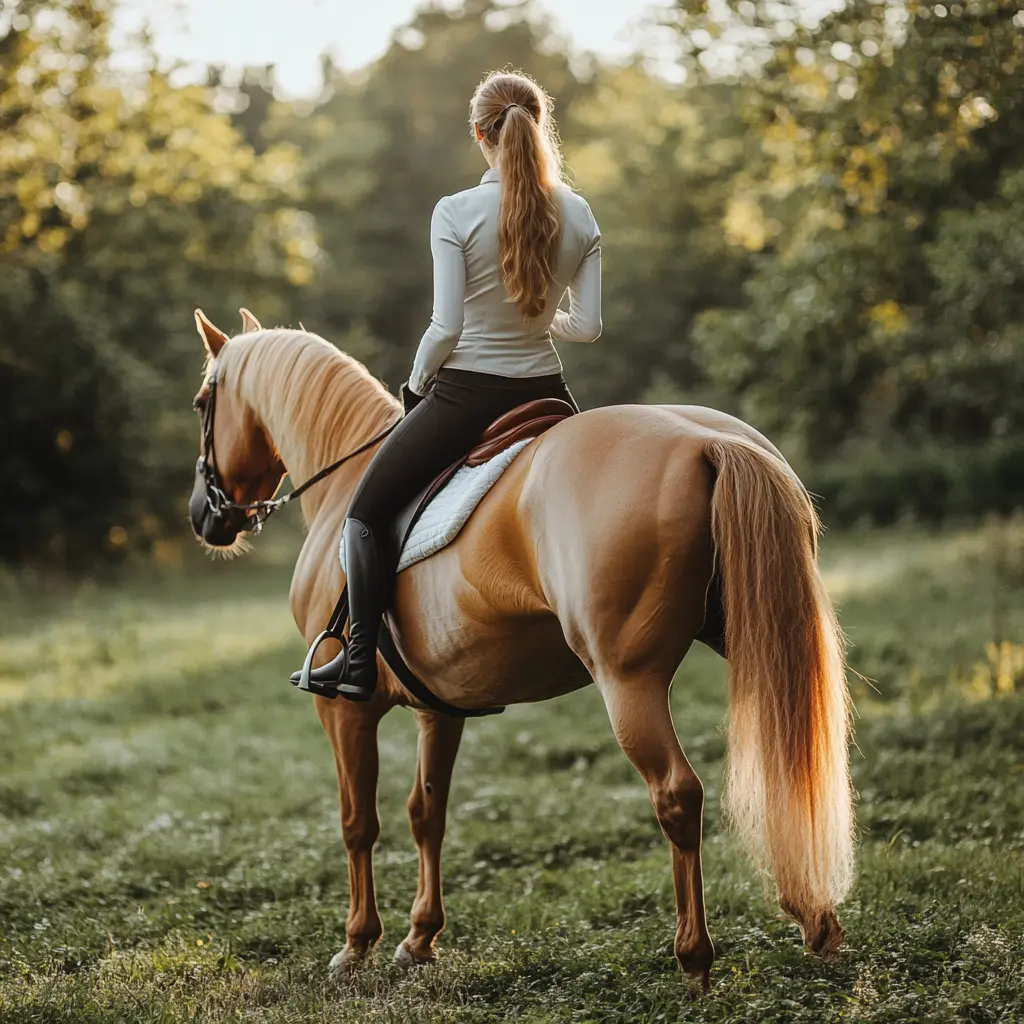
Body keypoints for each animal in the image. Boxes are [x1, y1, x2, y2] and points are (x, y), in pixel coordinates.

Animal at [188, 309, 851, 983]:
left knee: (676, 794)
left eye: (201, 404)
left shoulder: (344, 709)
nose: (204, 517)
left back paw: (694, 959)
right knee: (788, 759)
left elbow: (358, 822)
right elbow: (426, 813)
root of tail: (707, 442)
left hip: (628, 681)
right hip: (754, 637)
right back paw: (815, 921)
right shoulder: (439, 709)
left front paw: (356, 944)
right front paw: (419, 938)